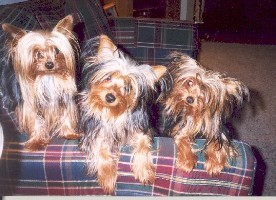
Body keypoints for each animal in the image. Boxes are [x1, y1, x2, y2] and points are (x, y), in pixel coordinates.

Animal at [1, 15, 80, 150]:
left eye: (56, 50)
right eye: (37, 53)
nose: (49, 64)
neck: (47, 77)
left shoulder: (64, 98)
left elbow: (66, 115)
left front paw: (69, 133)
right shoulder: (31, 105)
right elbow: (36, 121)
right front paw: (36, 141)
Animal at [78, 34, 167, 194]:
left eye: (128, 87)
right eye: (108, 77)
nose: (110, 97)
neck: (112, 113)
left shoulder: (141, 128)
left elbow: (143, 143)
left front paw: (144, 170)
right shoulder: (94, 132)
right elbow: (101, 148)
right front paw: (108, 177)